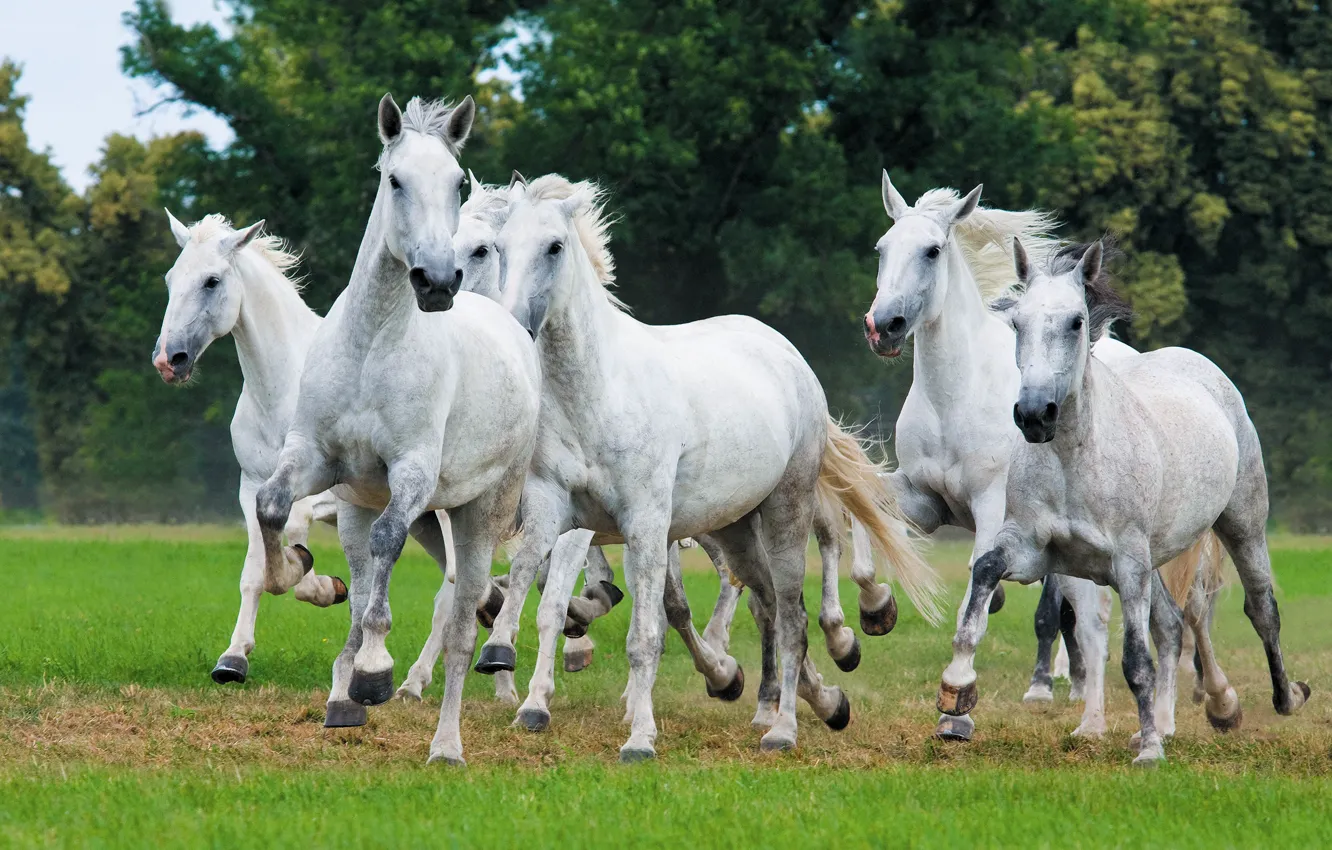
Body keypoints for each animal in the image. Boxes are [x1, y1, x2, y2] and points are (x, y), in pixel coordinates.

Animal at [252, 93, 545, 767]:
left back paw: (445, 744)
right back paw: (342, 699)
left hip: (476, 513)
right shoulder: (316, 458)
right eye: (395, 180)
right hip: (368, 509)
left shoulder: (412, 472)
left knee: (465, 622)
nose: (436, 282)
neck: (372, 348)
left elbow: (391, 543)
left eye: (456, 182)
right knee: (372, 584)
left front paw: (376, 670)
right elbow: (272, 506)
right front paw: (294, 574)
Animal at [476, 173, 940, 760]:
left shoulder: (645, 525)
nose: (513, 326)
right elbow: (530, 583)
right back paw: (824, 702)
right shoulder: (553, 511)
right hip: (735, 529)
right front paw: (503, 661)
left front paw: (640, 737)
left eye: (555, 247)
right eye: (498, 247)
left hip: (786, 513)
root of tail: (785, 352)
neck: (597, 391)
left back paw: (785, 725)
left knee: (793, 612)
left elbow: (644, 634)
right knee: (768, 604)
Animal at [860, 173, 1225, 742]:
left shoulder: (992, 509)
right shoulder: (922, 498)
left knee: (1122, 618)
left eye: (933, 250)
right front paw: (875, 609)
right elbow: (861, 513)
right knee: (1135, 619)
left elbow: (980, 599)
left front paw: (956, 709)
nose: (884, 326)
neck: (955, 397)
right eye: (881, 249)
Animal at [935, 238, 1310, 765]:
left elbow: (1136, 661)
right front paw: (957, 688)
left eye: (1076, 321)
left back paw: (1274, 700)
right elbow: (986, 573)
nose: (1034, 414)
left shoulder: (1128, 565)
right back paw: (1173, 723)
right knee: (1172, 625)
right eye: (1017, 322)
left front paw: (1150, 752)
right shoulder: (1032, 551)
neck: (1075, 461)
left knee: (1260, 610)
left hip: (1241, 526)